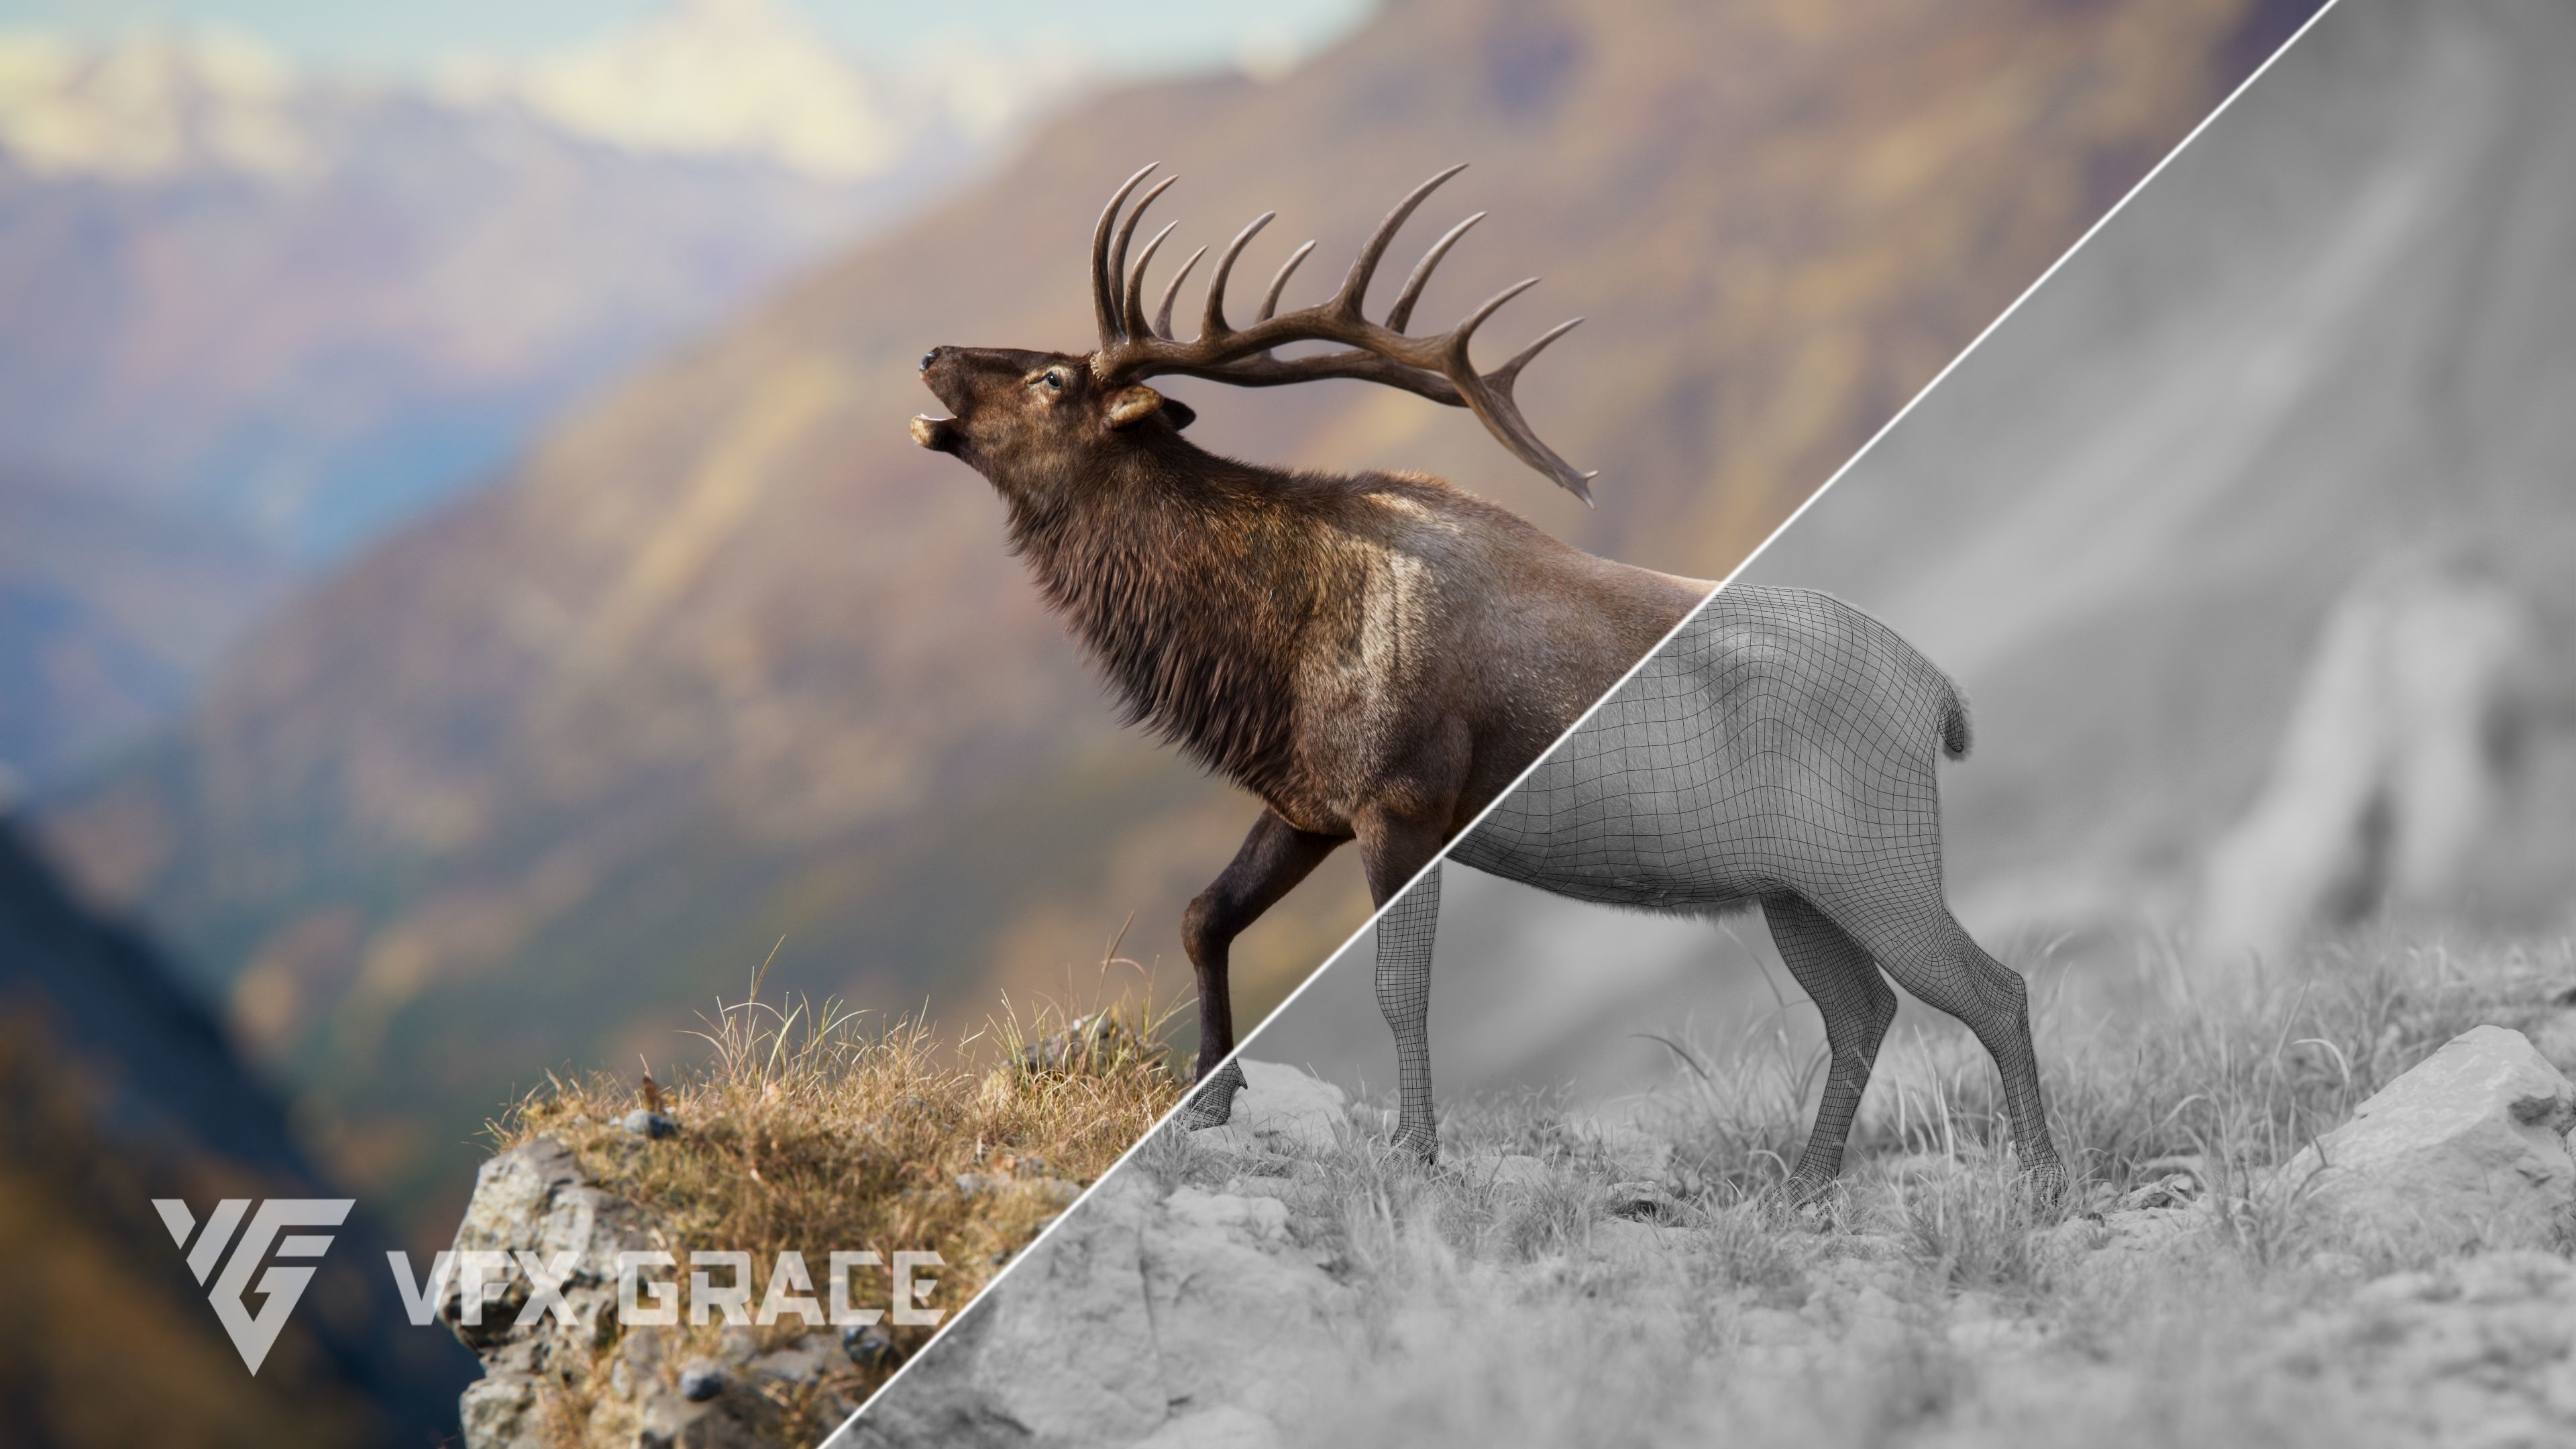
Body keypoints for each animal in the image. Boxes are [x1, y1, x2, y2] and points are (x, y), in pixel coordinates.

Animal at [912, 164, 2065, 1203]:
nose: (931, 353)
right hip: (1796, 887)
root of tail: (1942, 699)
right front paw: (1210, 1100)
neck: (1261, 647)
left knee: (1992, 989)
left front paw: (1417, 1154)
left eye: (1053, 381)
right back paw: (1808, 1188)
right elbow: (1204, 916)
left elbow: (1398, 987)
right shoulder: (1308, 802)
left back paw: (2044, 1181)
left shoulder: (1404, 798)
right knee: (1862, 1011)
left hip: (1876, 857)